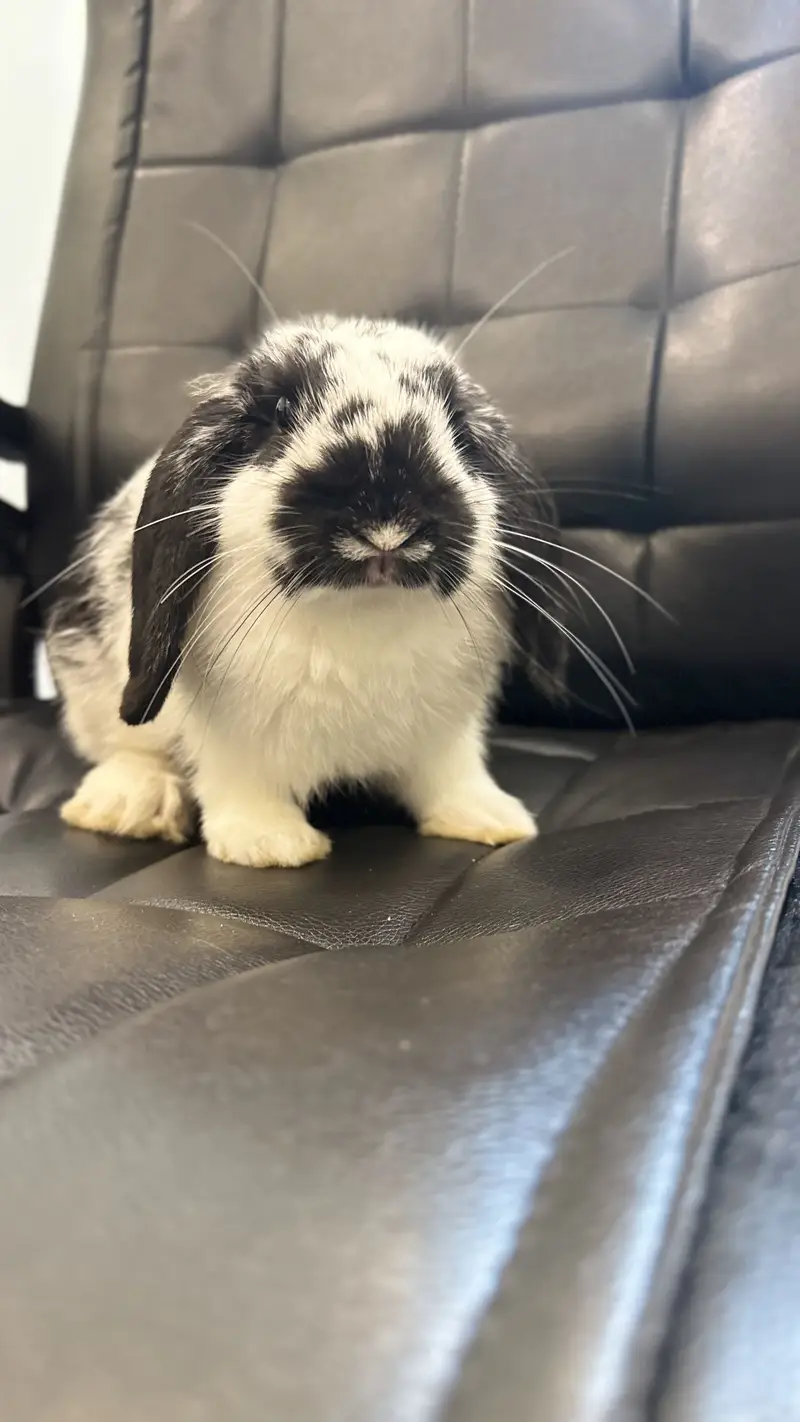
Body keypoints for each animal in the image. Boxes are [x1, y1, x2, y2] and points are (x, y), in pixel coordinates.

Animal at [46, 316, 565, 868]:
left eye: (460, 427)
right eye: (277, 413)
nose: (387, 518)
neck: (361, 620)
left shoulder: (447, 737)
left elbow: (451, 778)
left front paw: (491, 820)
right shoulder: (230, 738)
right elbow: (243, 786)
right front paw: (271, 845)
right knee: (126, 747)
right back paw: (128, 804)